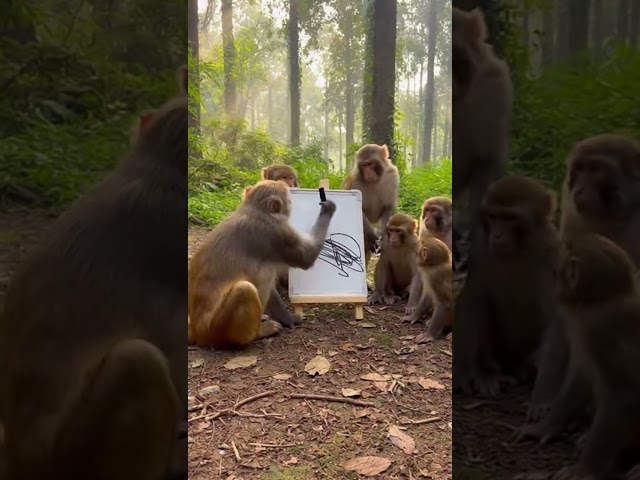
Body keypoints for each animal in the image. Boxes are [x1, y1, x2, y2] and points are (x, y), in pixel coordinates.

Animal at [188, 180, 336, 349]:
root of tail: (197, 331)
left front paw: (286, 318)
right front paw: (327, 209)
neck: (253, 209)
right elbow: (306, 257)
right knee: (245, 288)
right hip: (215, 330)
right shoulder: (276, 231)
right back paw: (257, 333)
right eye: (289, 200)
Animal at [452, 175, 560, 396]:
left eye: (510, 218)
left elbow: (555, 318)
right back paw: (486, 371)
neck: (519, 250)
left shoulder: (552, 255)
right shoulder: (482, 250)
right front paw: (462, 371)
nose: (497, 235)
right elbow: (474, 298)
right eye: (493, 217)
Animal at [515, 234, 640, 480]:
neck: (604, 299)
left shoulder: (597, 332)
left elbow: (622, 395)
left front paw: (585, 469)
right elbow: (583, 377)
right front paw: (548, 425)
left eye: (556, 273)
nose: (554, 291)